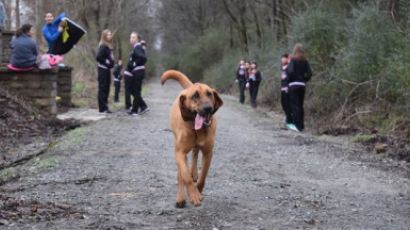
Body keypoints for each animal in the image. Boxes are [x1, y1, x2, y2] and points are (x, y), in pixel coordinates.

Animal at [161, 69, 224, 208]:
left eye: (209, 94)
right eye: (195, 96)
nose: (208, 108)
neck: (197, 129)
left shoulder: (208, 152)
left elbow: (203, 175)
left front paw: (198, 190)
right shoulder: (180, 152)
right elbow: (185, 176)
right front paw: (193, 194)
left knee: (195, 154)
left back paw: (194, 173)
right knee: (181, 172)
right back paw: (180, 197)